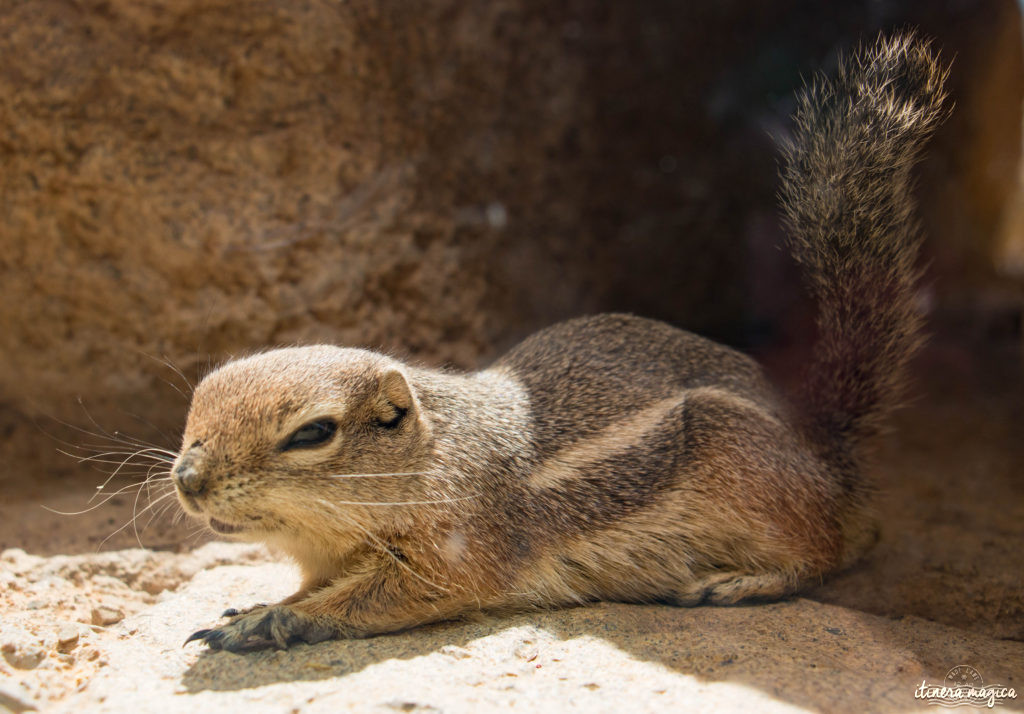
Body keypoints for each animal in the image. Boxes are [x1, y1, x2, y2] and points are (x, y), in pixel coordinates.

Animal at [174, 33, 942, 647]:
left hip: (748, 468)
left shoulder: (455, 550)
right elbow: (315, 586)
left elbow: (383, 598)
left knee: (837, 546)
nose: (186, 480)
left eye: (312, 433)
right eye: (194, 412)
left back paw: (734, 582)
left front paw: (270, 621)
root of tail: (826, 449)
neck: (433, 453)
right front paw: (257, 603)